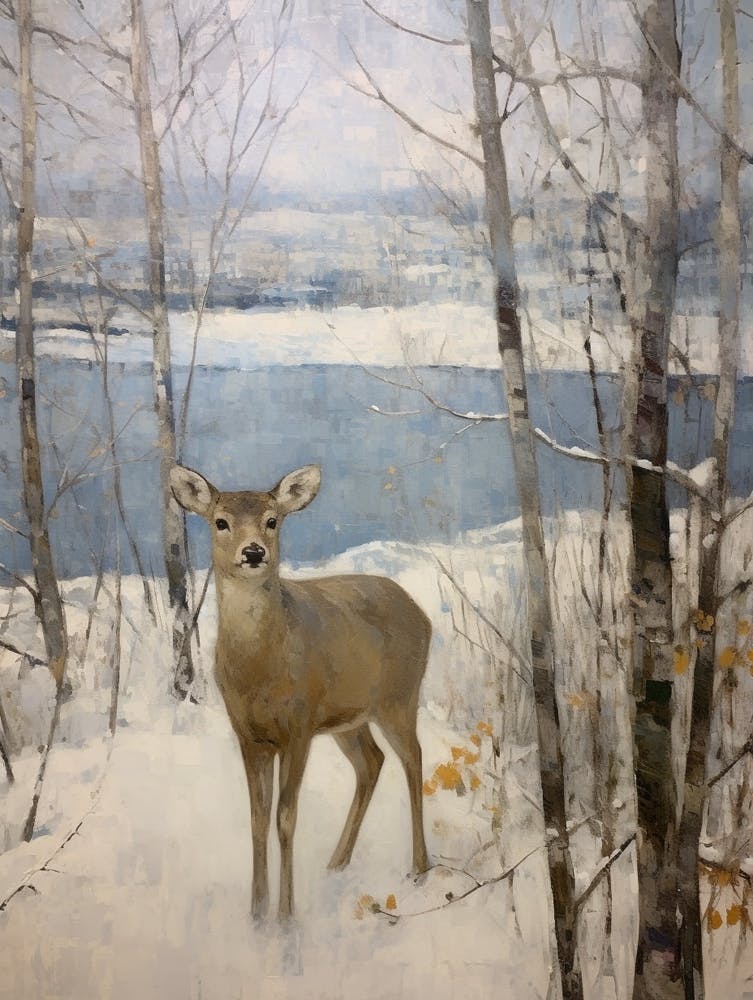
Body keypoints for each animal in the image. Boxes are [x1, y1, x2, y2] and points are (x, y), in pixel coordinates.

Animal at [170, 462, 431, 921]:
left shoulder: (299, 725)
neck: (259, 671)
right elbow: (257, 819)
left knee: (412, 759)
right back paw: (337, 862)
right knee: (372, 762)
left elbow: (286, 817)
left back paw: (418, 868)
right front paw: (256, 914)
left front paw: (286, 917)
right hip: (349, 717)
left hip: (398, 697)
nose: (254, 552)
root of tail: (423, 616)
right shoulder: (249, 735)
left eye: (273, 520)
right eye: (221, 522)